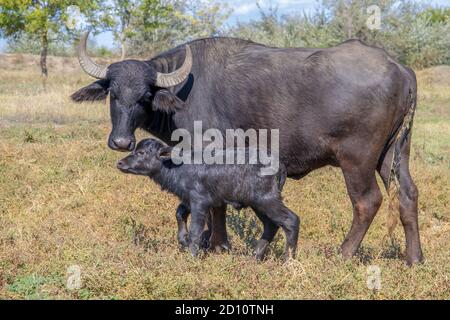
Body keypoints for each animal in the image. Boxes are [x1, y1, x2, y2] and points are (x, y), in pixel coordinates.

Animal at [72, 31, 424, 264]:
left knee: (367, 201)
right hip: (394, 154)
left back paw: (342, 254)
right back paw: (414, 258)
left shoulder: (209, 156)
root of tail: (398, 67)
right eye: (113, 93)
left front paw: (216, 244)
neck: (185, 92)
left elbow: (214, 205)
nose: (121, 142)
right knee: (407, 195)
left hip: (357, 159)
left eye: (145, 94)